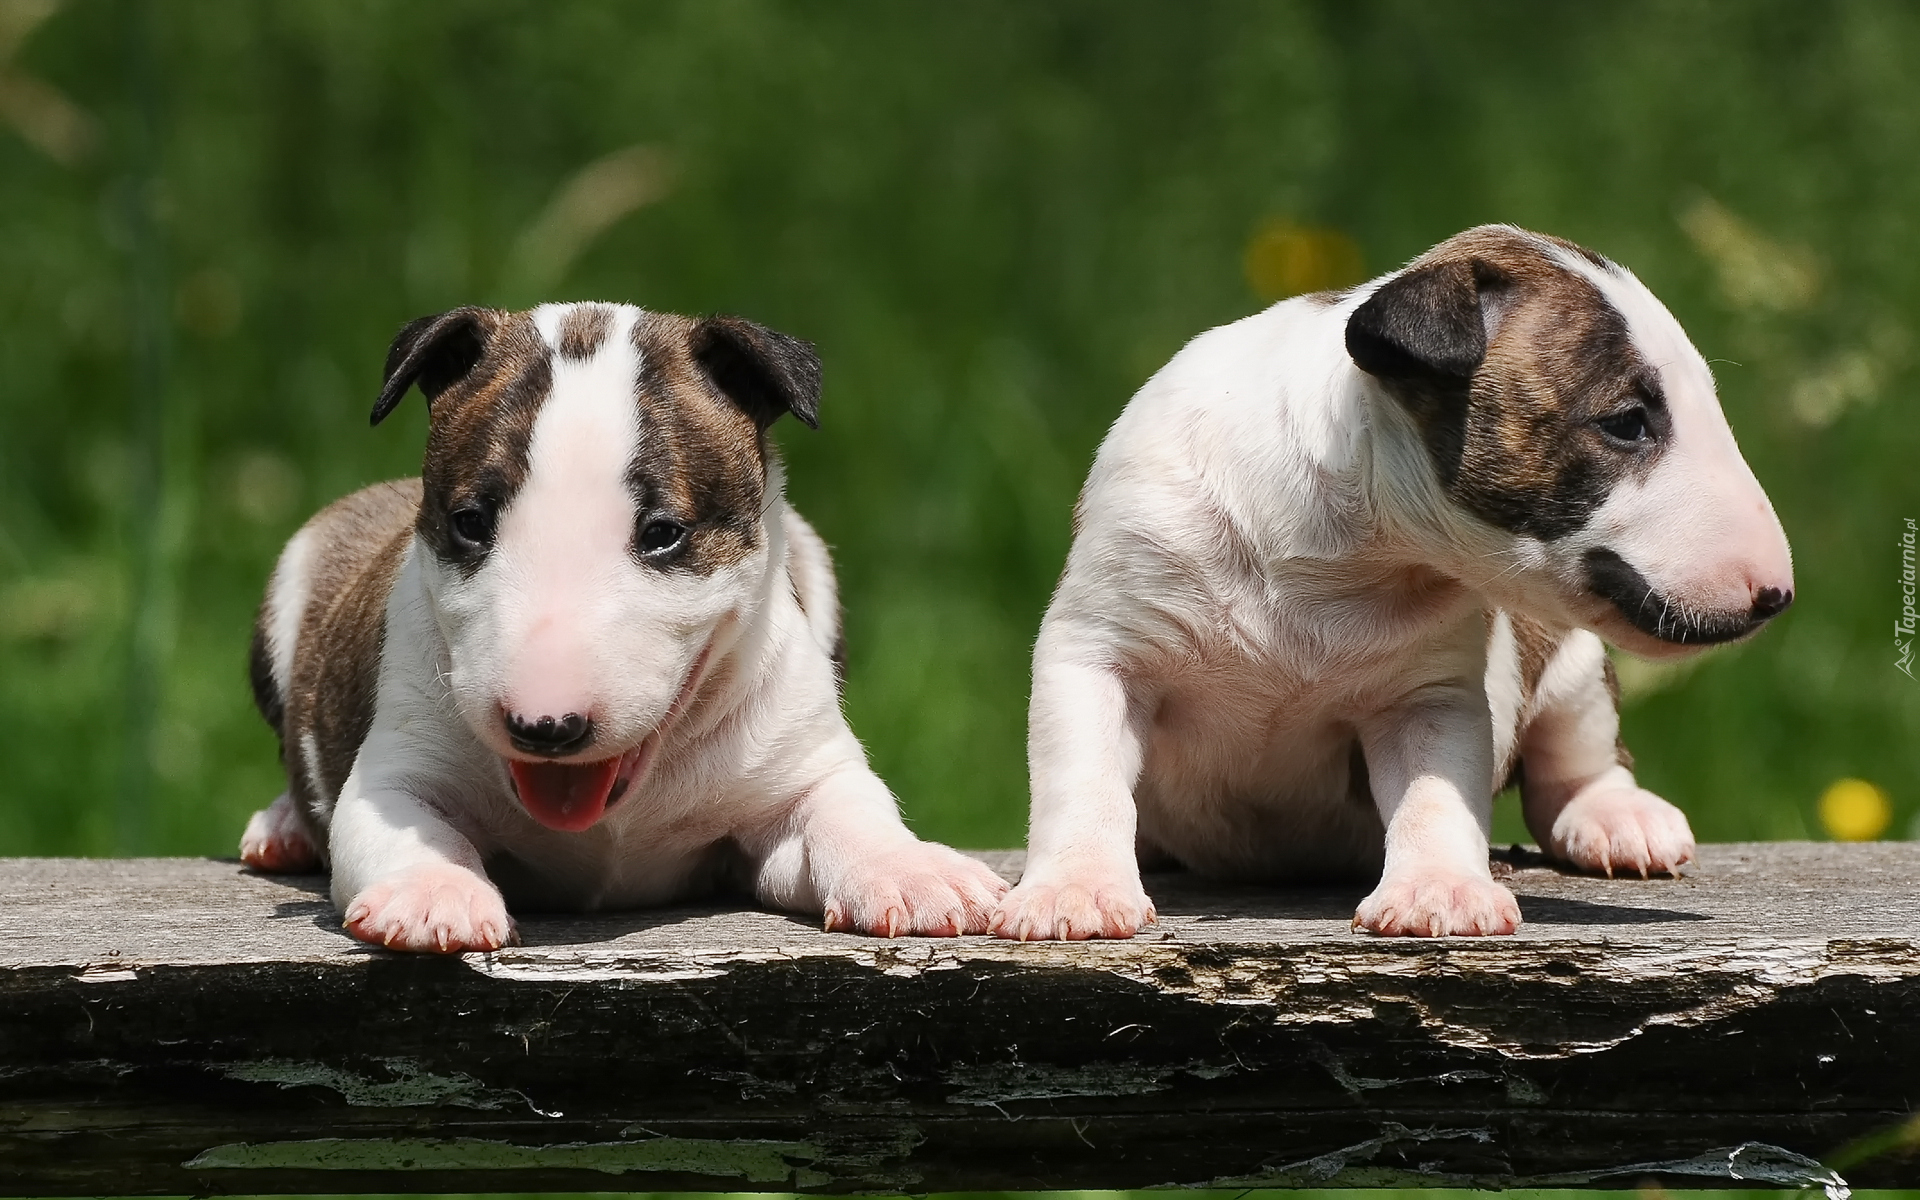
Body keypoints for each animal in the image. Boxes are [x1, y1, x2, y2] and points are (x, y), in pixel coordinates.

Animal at [240, 303, 1006, 948]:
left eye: (663, 533)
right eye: (470, 522)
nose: (546, 728)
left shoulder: (797, 774)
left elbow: (848, 807)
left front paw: (914, 873)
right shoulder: (399, 765)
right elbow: (401, 822)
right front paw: (433, 893)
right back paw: (283, 827)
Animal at [998, 222, 1789, 936]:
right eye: (1627, 422)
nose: (1777, 594)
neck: (1336, 543)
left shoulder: (1427, 695)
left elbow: (1435, 790)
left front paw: (1440, 891)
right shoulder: (1102, 646)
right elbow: (1085, 776)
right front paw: (1073, 890)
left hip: (1573, 665)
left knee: (1578, 758)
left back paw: (1618, 817)